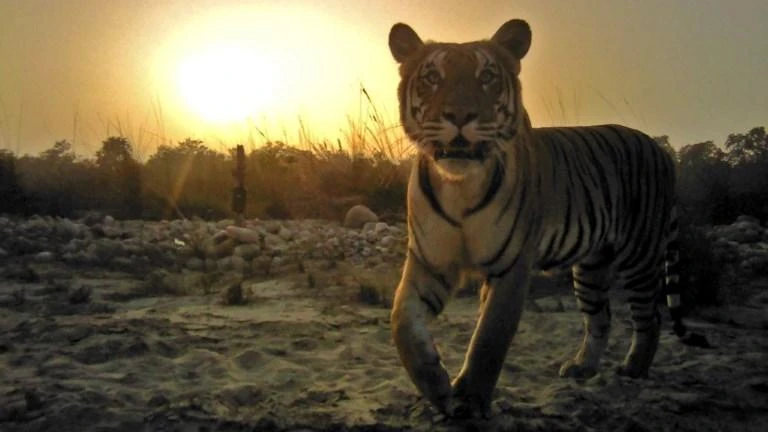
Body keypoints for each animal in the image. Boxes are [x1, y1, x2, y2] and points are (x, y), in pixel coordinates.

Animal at [388, 18, 707, 419]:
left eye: (486, 76)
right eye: (432, 76)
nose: (459, 116)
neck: (459, 187)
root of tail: (660, 149)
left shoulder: (511, 267)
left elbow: (489, 338)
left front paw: (472, 399)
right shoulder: (429, 261)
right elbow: (402, 324)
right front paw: (436, 384)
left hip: (639, 255)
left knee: (650, 317)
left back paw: (633, 369)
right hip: (592, 266)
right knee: (601, 317)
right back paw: (582, 368)